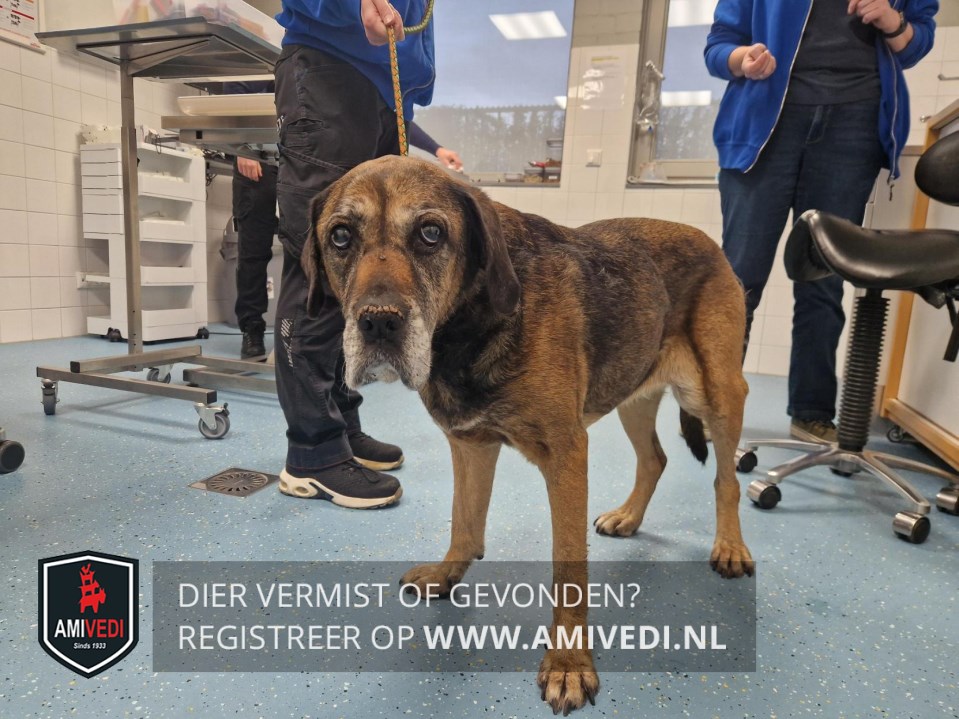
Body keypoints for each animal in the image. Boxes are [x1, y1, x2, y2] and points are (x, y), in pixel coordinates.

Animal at [303, 155, 754, 714]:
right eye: (341, 236)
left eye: (431, 233)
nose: (379, 324)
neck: (466, 327)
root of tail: (709, 241)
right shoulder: (470, 445)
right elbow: (465, 523)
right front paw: (447, 575)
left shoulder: (566, 455)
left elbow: (568, 572)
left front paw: (568, 664)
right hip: (633, 390)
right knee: (655, 459)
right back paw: (629, 516)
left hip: (716, 392)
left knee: (726, 479)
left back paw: (730, 545)